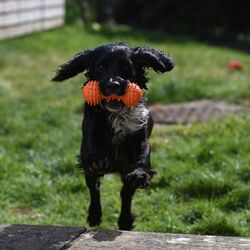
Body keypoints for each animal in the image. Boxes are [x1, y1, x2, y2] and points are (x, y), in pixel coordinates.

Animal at [52, 43, 174, 230]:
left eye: (126, 67)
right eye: (101, 67)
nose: (113, 85)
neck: (117, 115)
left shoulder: (140, 138)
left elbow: (142, 156)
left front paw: (139, 174)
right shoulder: (90, 135)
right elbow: (93, 146)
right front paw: (98, 160)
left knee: (125, 193)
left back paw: (125, 221)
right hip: (90, 174)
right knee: (94, 189)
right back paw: (94, 216)